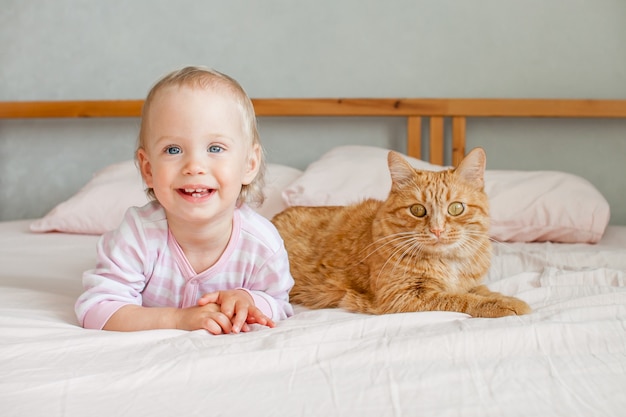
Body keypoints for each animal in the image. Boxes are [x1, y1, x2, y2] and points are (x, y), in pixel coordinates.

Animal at [270, 148, 528, 316]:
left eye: (456, 208)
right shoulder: (401, 297)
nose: (437, 230)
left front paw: (505, 298)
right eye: (417, 210)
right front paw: (506, 305)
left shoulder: (469, 283)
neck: (449, 262)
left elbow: (481, 290)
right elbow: (458, 298)